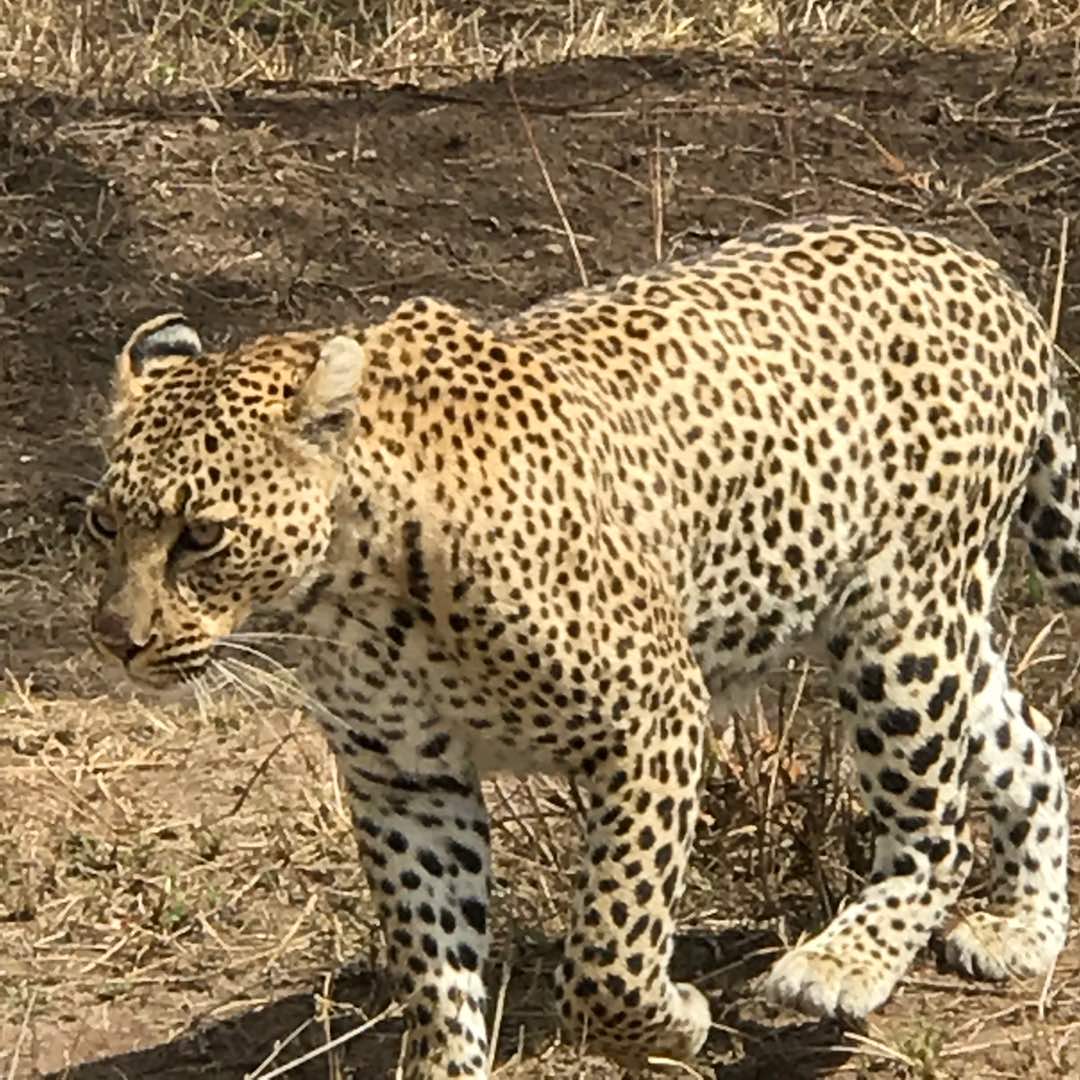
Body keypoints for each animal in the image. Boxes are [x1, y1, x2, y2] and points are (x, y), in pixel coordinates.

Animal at [86, 217, 1073, 1079]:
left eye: (202, 535)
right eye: (104, 522)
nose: (116, 643)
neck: (351, 584)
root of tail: (982, 271)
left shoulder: (653, 717)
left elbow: (610, 941)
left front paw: (671, 1024)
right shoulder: (404, 779)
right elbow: (433, 958)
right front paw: (449, 1062)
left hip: (898, 628)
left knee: (937, 830)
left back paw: (840, 965)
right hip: (920, 631)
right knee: (1030, 747)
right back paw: (1023, 931)